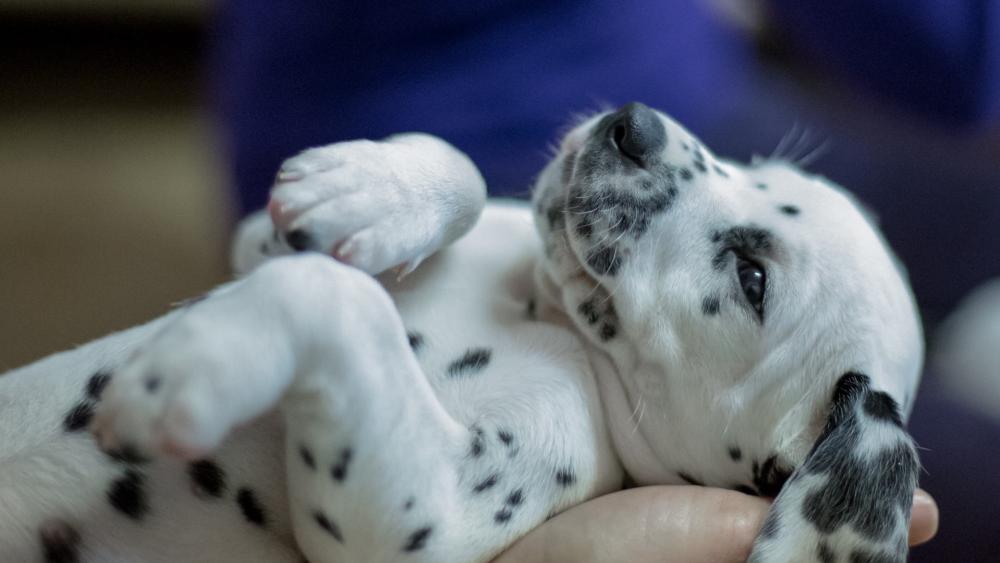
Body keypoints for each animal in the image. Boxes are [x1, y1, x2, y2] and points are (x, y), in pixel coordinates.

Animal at [0, 102, 920, 563]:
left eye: (752, 278)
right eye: (759, 167)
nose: (634, 123)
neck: (539, 314)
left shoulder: (415, 523)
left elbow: (341, 296)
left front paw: (197, 363)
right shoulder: (255, 245)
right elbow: (463, 178)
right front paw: (364, 188)